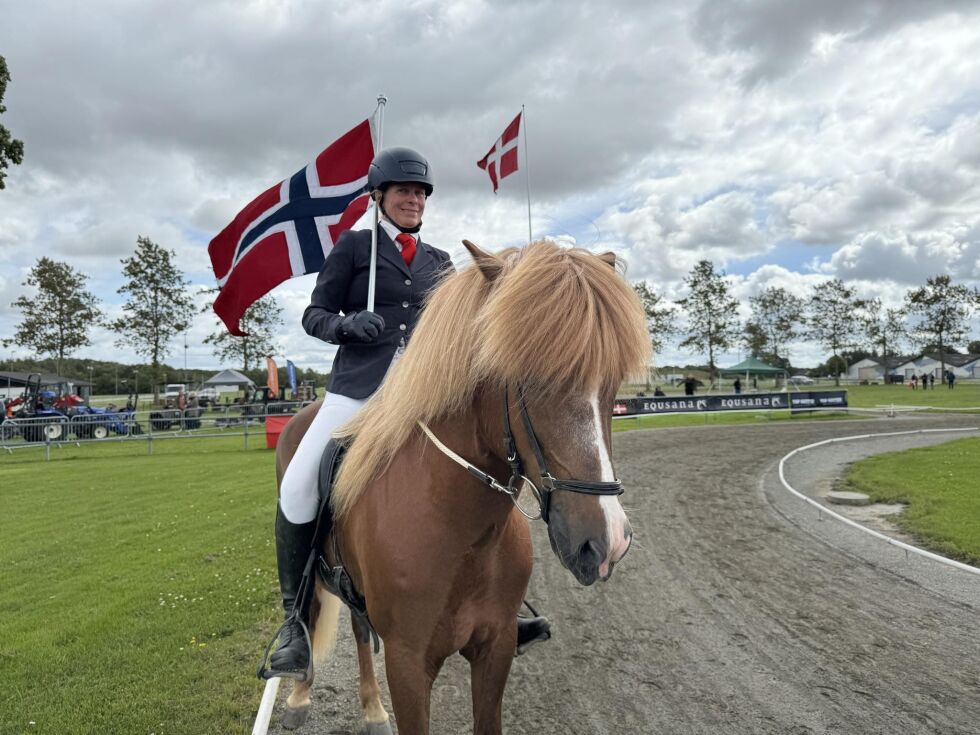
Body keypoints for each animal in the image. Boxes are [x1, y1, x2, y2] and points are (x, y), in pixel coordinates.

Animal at [274, 239, 652, 732]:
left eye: (612, 383)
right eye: (526, 376)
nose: (606, 543)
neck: (461, 530)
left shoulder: (496, 647)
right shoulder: (407, 663)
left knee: (357, 627)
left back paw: (373, 710)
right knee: (313, 606)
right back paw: (299, 691)